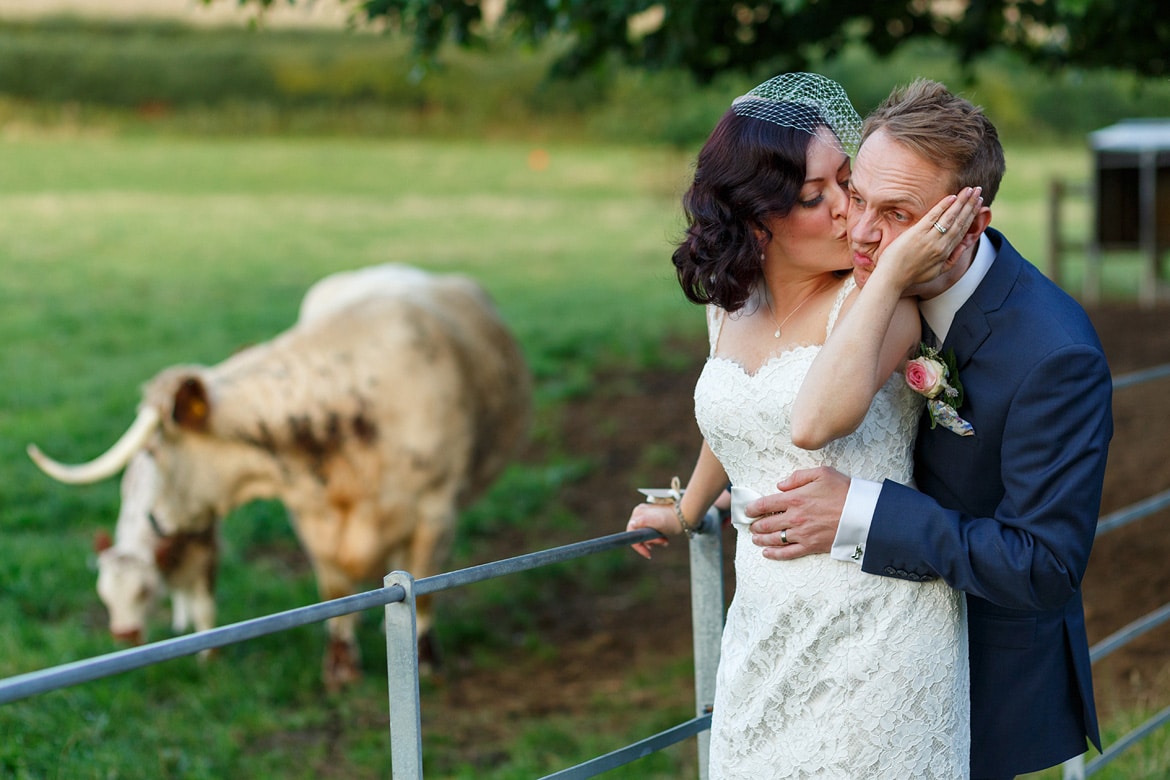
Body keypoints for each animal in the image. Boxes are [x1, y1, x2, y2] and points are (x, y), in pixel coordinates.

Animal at [28, 266, 531, 687]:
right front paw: (341, 665)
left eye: (154, 449)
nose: (155, 521)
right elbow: (334, 590)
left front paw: (425, 659)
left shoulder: (435, 515)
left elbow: (423, 589)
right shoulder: (311, 520)